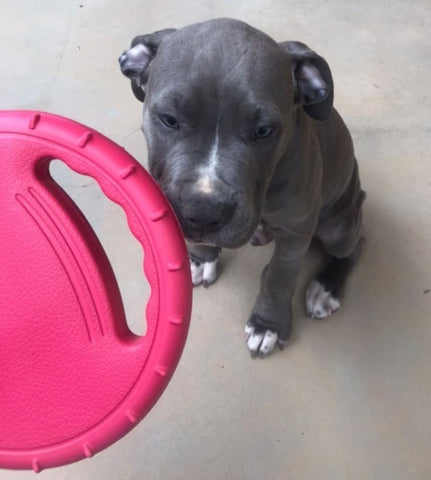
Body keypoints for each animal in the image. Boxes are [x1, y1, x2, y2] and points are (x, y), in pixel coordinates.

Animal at [120, 18, 366, 356]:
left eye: (263, 131)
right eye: (168, 119)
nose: (204, 212)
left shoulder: (296, 230)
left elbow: (279, 276)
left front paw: (267, 325)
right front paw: (200, 258)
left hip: (337, 226)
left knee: (355, 246)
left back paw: (326, 287)